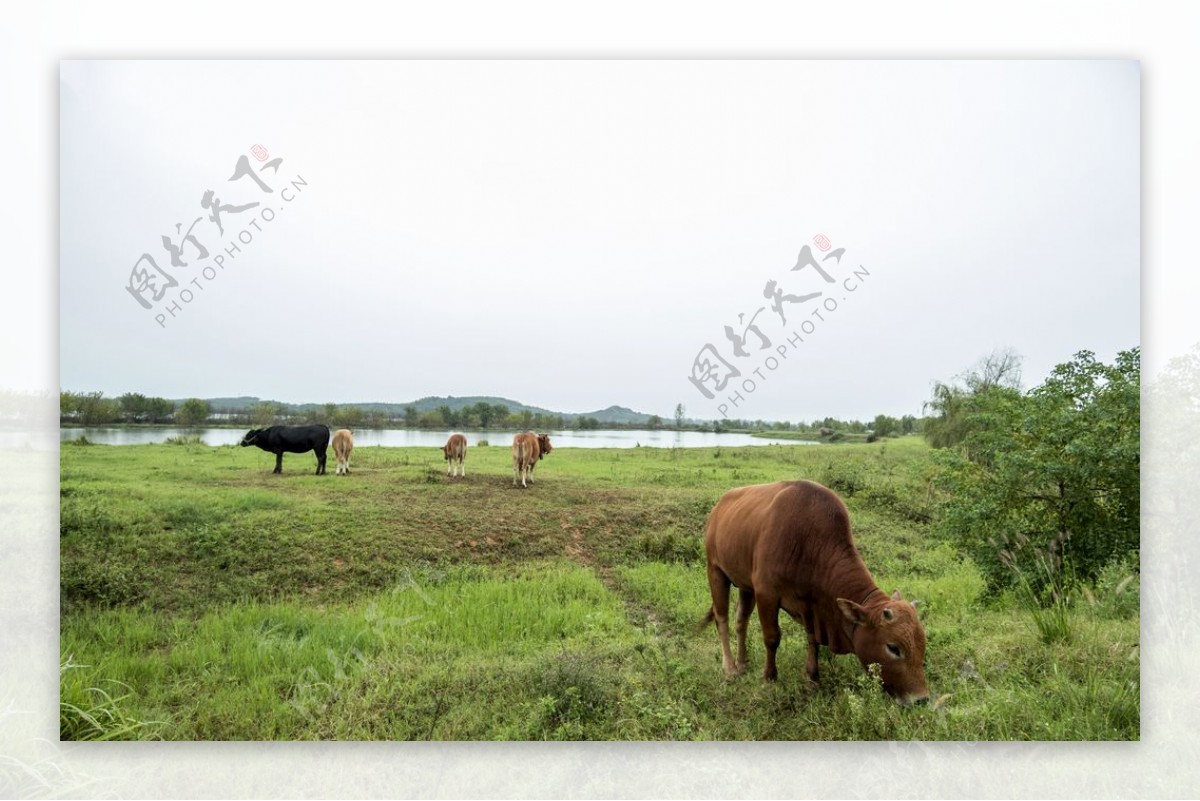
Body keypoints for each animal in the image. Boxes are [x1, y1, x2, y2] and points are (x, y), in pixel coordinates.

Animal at [700, 479, 931, 705]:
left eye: (922, 643)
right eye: (893, 647)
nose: (921, 699)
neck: (809, 541)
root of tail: (719, 506)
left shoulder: (812, 604)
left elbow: (813, 639)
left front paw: (812, 677)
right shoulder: (766, 593)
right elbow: (772, 638)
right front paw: (769, 677)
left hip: (744, 584)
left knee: (741, 621)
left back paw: (742, 663)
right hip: (715, 570)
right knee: (722, 618)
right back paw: (730, 667)